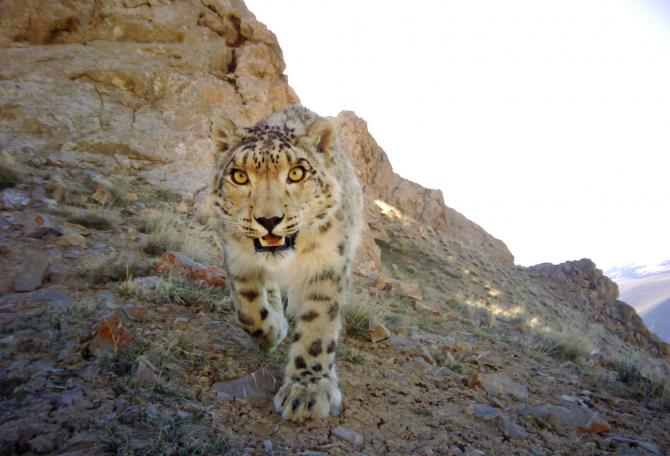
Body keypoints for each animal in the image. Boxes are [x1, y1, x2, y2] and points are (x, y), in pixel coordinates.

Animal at [210, 106, 363, 422]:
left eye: (296, 173)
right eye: (239, 176)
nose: (269, 220)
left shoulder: (327, 266)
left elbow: (317, 328)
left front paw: (307, 391)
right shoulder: (237, 256)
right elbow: (247, 307)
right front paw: (270, 334)